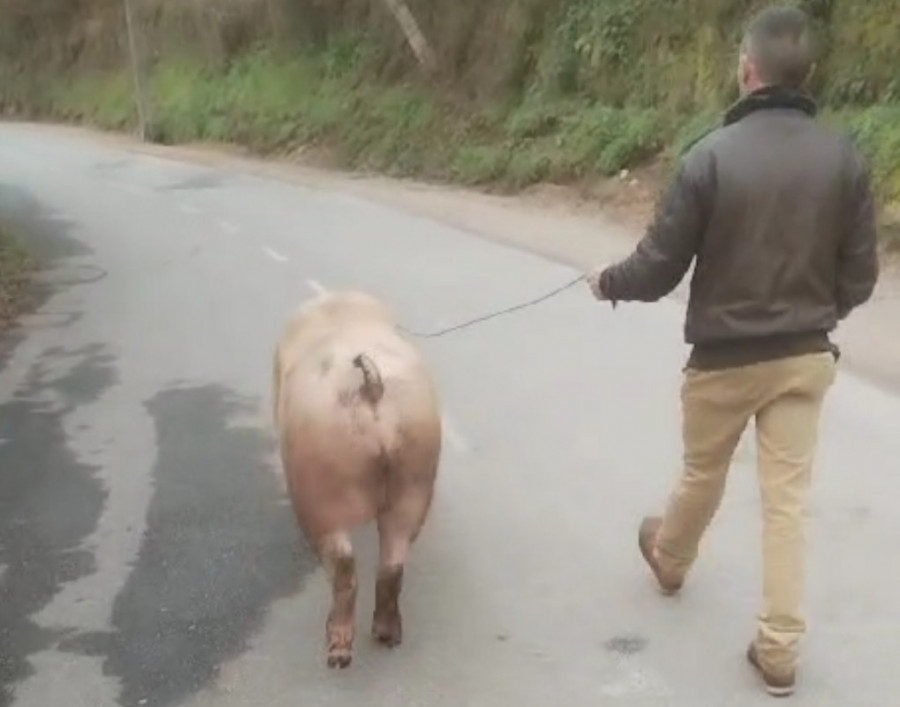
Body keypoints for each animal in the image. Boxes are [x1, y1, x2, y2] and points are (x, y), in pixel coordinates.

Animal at [274, 292, 442, 668]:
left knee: (343, 565)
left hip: (319, 489)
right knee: (392, 562)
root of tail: (372, 388)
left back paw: (337, 653)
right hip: (416, 473)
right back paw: (387, 636)